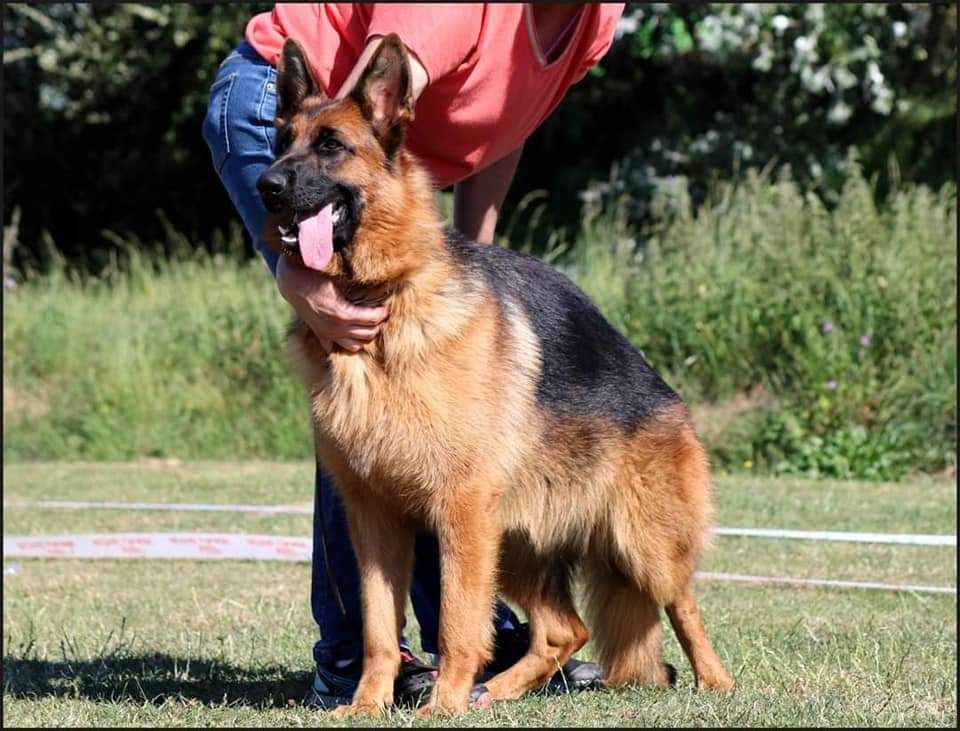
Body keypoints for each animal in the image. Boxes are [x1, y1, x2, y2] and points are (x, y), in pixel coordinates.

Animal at [256, 37, 736, 716]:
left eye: (330, 146)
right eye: (281, 141)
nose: (265, 185)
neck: (385, 299)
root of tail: (664, 391)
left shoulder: (459, 511)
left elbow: (459, 621)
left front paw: (444, 704)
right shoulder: (374, 521)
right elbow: (379, 628)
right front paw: (370, 703)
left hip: (634, 544)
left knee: (683, 605)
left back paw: (717, 683)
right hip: (514, 544)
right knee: (565, 629)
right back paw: (498, 690)